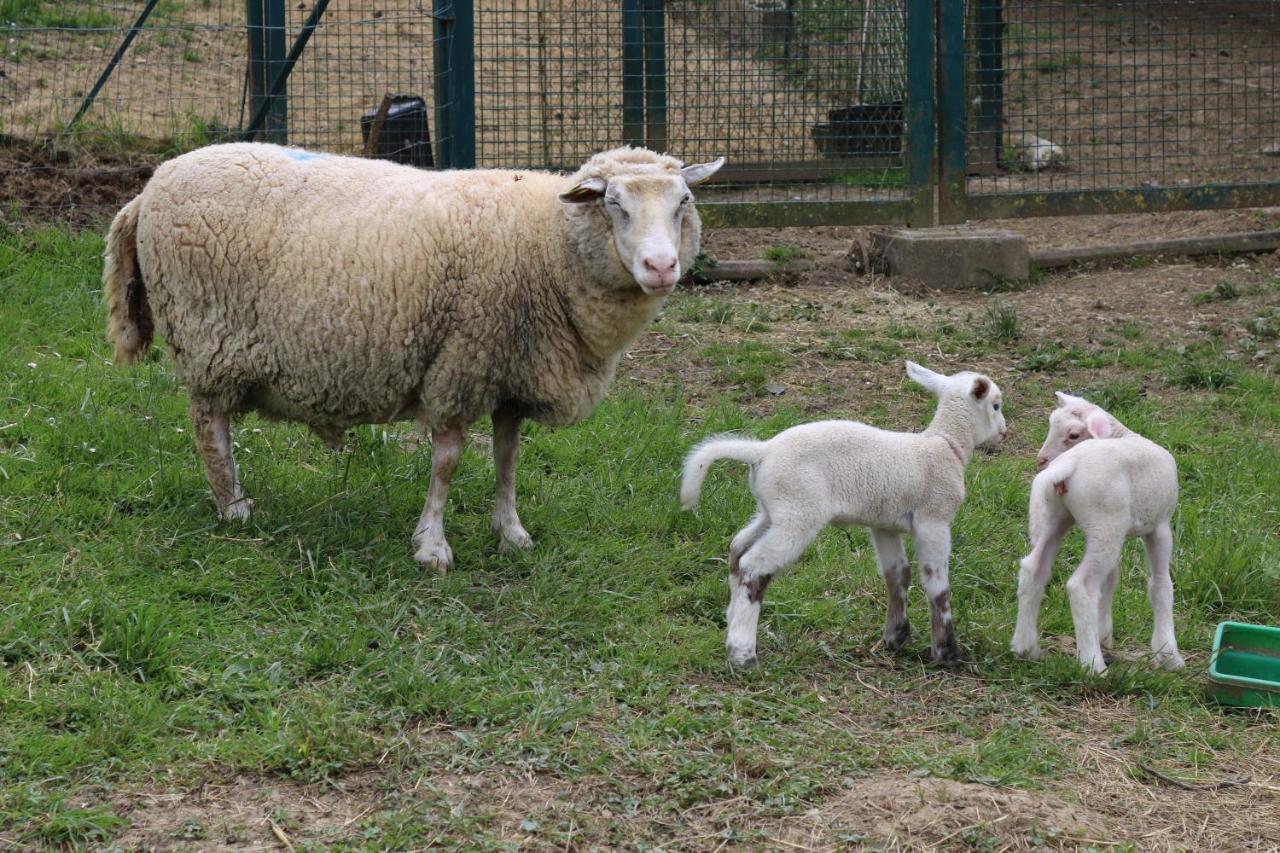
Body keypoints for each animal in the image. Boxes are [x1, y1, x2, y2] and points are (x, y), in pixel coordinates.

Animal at [680, 358, 1008, 666]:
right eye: (996, 405)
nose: (1004, 432)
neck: (946, 446)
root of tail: (763, 451)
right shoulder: (934, 519)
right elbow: (937, 585)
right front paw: (947, 653)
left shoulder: (884, 524)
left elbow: (896, 575)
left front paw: (896, 638)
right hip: (799, 511)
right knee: (755, 566)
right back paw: (743, 655)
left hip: (772, 510)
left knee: (737, 550)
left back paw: (732, 625)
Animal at [1013, 389, 1182, 671]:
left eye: (1073, 434)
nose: (1040, 461)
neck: (1123, 434)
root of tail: (1066, 466)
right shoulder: (1160, 527)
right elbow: (1161, 586)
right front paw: (1169, 655)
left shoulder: (1118, 530)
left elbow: (1111, 581)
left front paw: (1104, 634)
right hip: (1105, 525)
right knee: (1082, 586)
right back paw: (1093, 664)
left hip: (1063, 519)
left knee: (1033, 569)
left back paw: (1025, 647)